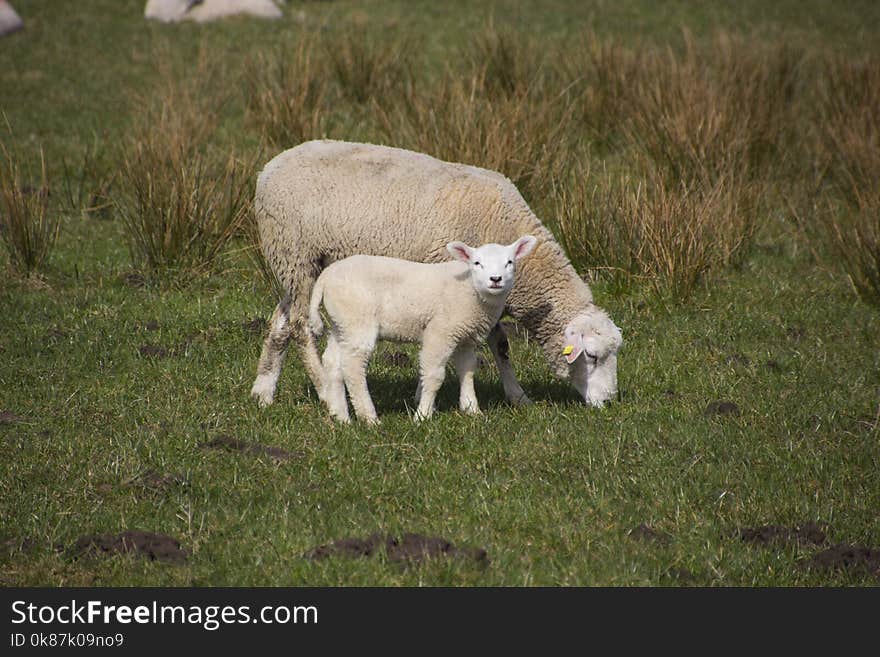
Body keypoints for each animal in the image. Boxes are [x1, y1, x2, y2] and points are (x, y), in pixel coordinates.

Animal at [310, 234, 544, 420]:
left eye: (509, 262)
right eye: (477, 263)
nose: (495, 279)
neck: (471, 290)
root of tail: (326, 277)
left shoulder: (466, 335)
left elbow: (467, 369)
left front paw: (472, 409)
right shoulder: (441, 331)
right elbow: (434, 375)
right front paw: (422, 415)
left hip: (341, 323)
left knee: (333, 362)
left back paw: (341, 417)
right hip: (359, 319)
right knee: (352, 366)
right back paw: (369, 418)